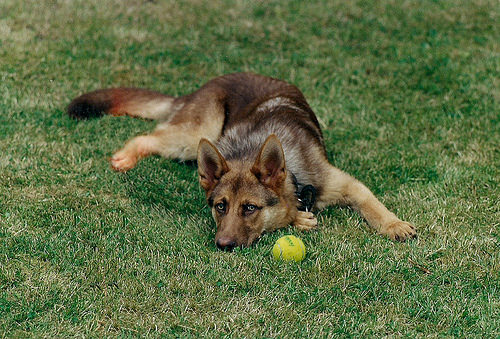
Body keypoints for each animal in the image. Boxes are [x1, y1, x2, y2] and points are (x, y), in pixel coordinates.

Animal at [67, 73, 418, 251]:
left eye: (249, 208)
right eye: (220, 206)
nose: (222, 245)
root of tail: (205, 85)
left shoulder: (344, 183)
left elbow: (371, 203)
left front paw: (394, 224)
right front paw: (297, 218)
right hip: (197, 135)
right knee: (148, 136)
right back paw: (125, 157)